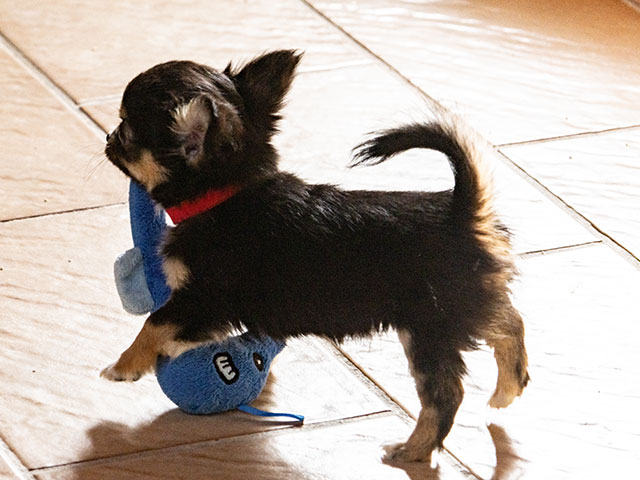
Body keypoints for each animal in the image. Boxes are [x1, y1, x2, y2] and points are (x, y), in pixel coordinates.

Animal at [101, 50, 529, 463]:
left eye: (126, 129)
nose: (107, 137)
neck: (228, 192)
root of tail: (464, 211)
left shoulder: (201, 299)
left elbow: (155, 323)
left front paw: (123, 365)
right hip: (468, 306)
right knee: (510, 322)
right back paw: (509, 385)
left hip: (428, 328)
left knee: (445, 395)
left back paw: (412, 451)